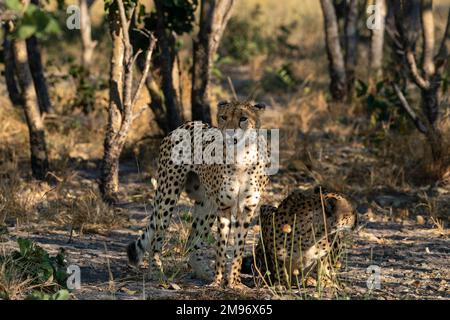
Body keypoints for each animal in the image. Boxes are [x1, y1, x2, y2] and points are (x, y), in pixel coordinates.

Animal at [126, 100, 268, 290]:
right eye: (223, 117)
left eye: (243, 118)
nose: (229, 133)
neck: (241, 158)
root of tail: (185, 124)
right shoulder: (224, 208)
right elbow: (221, 247)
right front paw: (217, 282)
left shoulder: (246, 209)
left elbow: (238, 248)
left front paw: (234, 282)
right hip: (168, 193)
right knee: (157, 237)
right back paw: (157, 273)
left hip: (207, 204)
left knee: (192, 242)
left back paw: (204, 272)